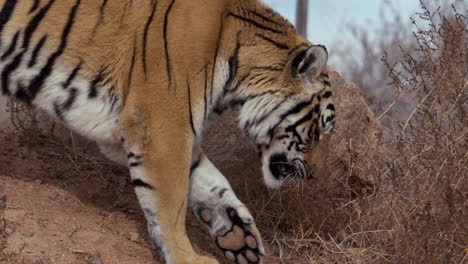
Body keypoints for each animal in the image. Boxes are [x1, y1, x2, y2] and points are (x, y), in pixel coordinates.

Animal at [0, 0, 336, 262]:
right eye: (320, 129)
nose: (315, 175)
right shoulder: (163, 127)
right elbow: (171, 203)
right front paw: (187, 257)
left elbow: (210, 180)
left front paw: (240, 237)